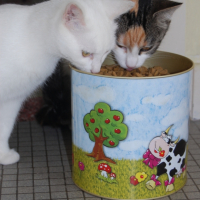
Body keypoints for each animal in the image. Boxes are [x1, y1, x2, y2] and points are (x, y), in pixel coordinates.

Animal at [0, 0, 134, 165]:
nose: (95, 70)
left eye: (106, 52)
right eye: (85, 53)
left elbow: (5, 127)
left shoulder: (13, 99)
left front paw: (3, 155)